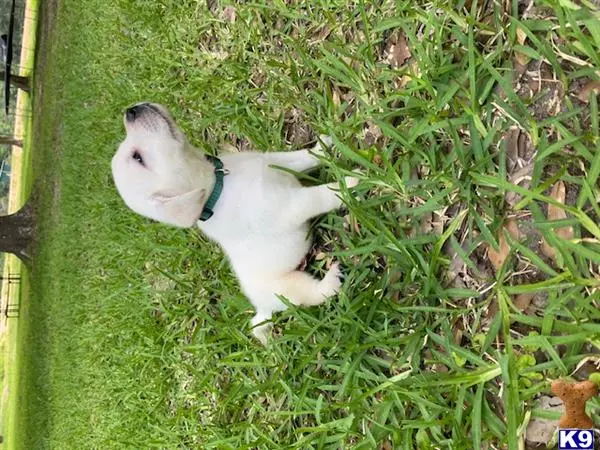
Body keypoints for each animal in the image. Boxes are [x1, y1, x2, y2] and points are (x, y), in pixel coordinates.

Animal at [112, 102, 356, 342]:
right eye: (138, 158)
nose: (130, 111)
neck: (218, 183)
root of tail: (261, 308)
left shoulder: (273, 161)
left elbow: (303, 157)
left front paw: (322, 147)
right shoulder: (291, 205)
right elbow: (320, 195)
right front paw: (351, 183)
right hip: (288, 287)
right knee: (314, 294)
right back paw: (333, 280)